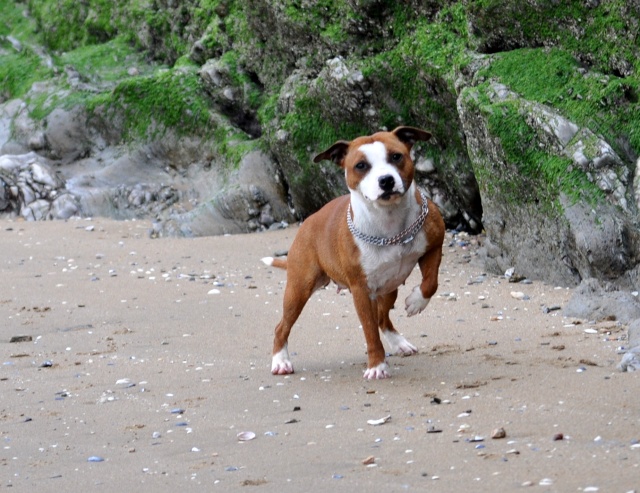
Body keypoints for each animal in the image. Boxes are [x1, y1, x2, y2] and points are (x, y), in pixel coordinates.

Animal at [260, 126, 444, 376]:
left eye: (396, 156)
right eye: (361, 165)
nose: (386, 180)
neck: (389, 224)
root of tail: (308, 221)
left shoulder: (434, 246)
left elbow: (430, 282)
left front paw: (416, 302)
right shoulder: (360, 291)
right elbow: (369, 332)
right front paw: (377, 366)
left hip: (389, 288)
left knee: (382, 319)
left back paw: (400, 343)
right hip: (299, 289)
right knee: (282, 326)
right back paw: (280, 361)